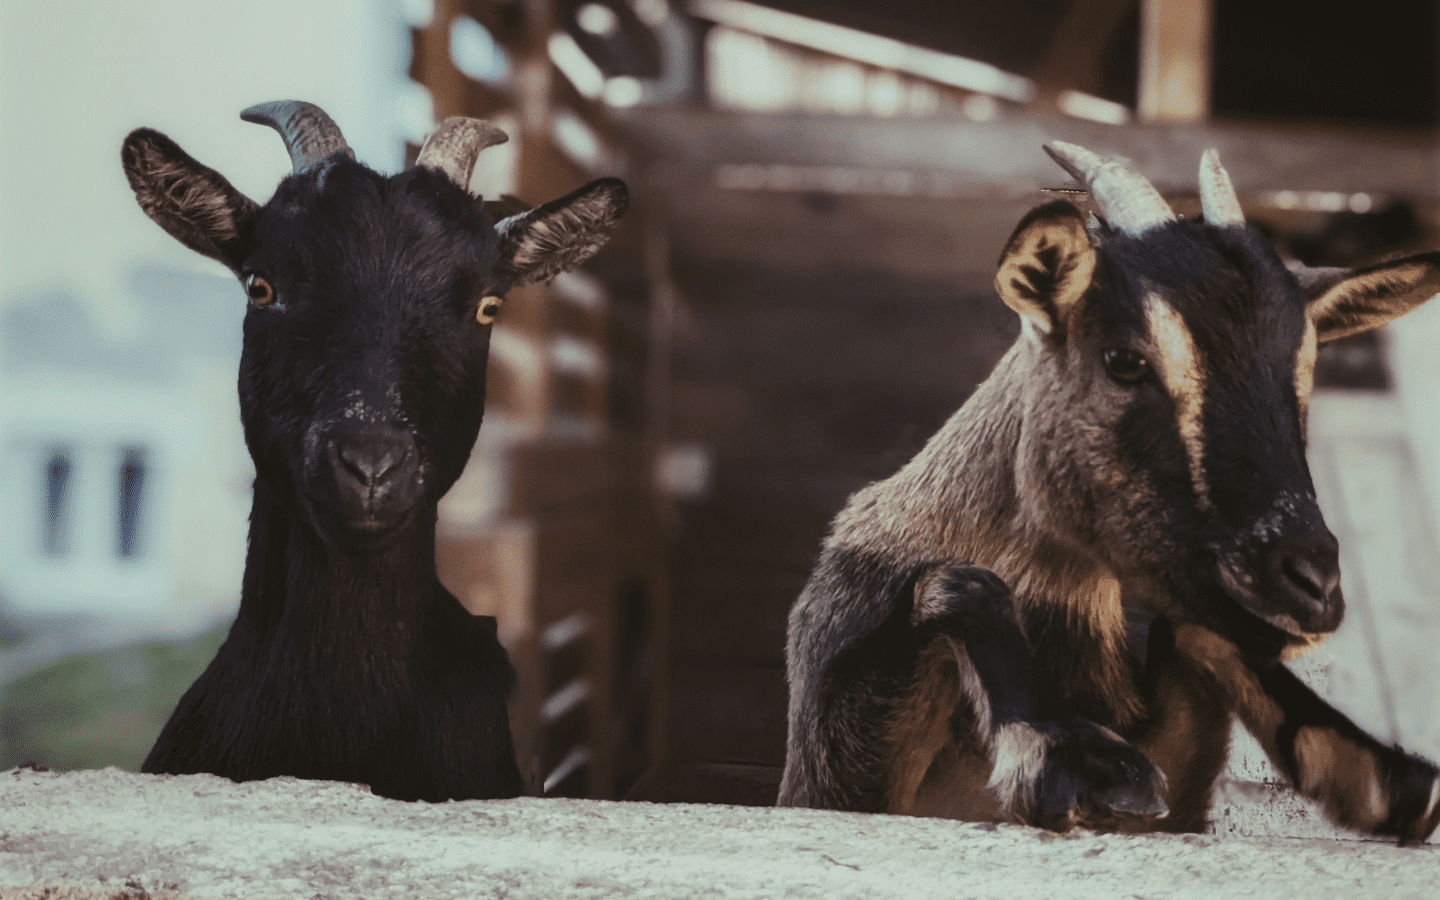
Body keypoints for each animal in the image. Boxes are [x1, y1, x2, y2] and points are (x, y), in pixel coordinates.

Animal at [780, 142, 1440, 842]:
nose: (1311, 583)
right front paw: (1069, 753)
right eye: (1125, 359)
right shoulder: (825, 779)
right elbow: (955, 582)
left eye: (1306, 374)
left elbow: (1194, 632)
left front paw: (1377, 776)